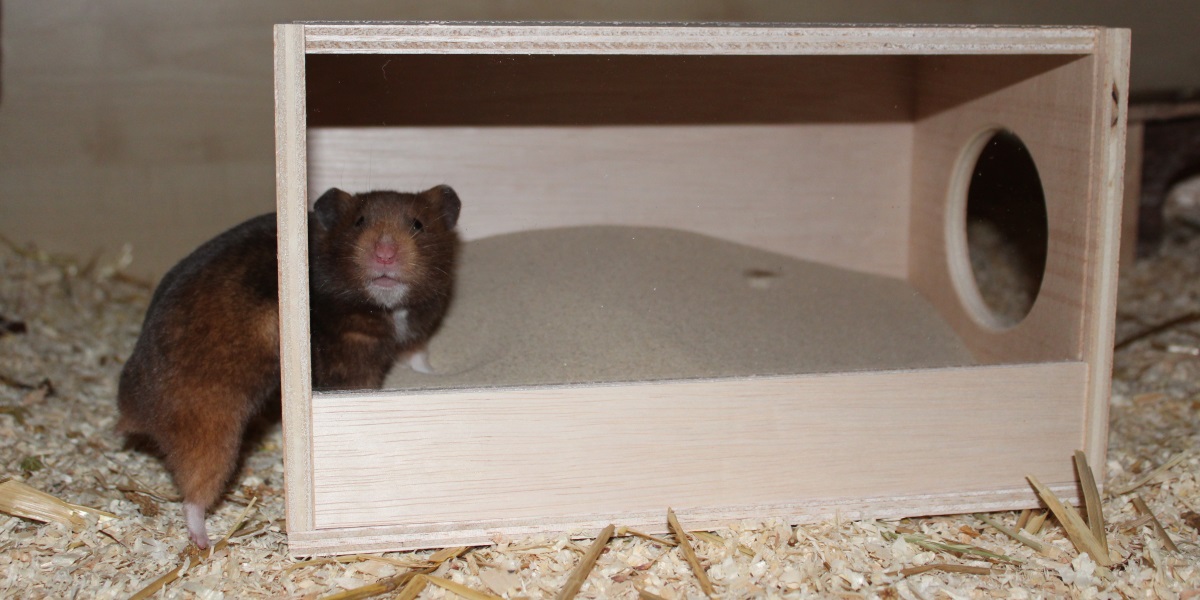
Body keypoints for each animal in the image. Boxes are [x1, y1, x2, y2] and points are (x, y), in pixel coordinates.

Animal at [117, 185, 461, 549]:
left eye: (418, 224)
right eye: (359, 221)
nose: (384, 255)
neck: (386, 307)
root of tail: (131, 411)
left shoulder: (414, 334)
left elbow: (419, 359)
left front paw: (436, 375)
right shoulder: (350, 366)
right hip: (210, 428)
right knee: (195, 491)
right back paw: (204, 542)